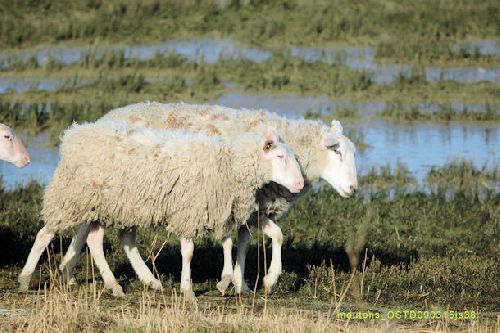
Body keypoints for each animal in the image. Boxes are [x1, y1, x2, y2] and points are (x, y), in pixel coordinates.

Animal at [17, 119, 302, 296]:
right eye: (280, 156)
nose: (299, 183)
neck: (229, 163)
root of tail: (75, 135)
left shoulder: (220, 209)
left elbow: (236, 242)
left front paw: (232, 281)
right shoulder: (190, 209)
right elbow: (189, 252)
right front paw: (189, 289)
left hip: (106, 205)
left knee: (98, 240)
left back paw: (128, 284)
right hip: (72, 198)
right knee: (46, 233)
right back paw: (25, 279)